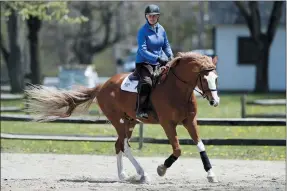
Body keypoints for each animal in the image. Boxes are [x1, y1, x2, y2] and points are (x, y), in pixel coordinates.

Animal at [25, 51, 222, 183]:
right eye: (205, 79)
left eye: (216, 78)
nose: (215, 101)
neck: (176, 90)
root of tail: (103, 85)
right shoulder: (168, 124)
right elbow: (178, 150)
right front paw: (161, 169)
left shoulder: (190, 122)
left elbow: (200, 145)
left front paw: (211, 174)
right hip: (119, 121)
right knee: (124, 146)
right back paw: (142, 174)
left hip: (130, 122)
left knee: (119, 145)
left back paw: (124, 175)